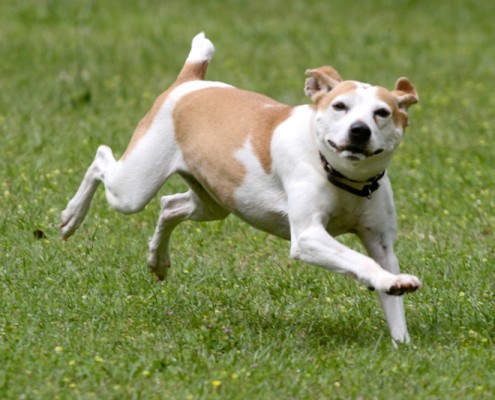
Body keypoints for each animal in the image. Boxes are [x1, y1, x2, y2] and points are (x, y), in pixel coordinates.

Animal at [60, 32, 420, 342]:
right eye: (339, 106)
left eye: (382, 112)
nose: (359, 131)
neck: (341, 176)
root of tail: (189, 83)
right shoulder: (307, 237)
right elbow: (360, 262)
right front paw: (389, 283)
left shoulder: (380, 242)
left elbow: (388, 289)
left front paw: (401, 337)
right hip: (132, 189)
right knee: (101, 160)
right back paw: (72, 217)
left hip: (213, 201)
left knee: (170, 205)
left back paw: (158, 259)